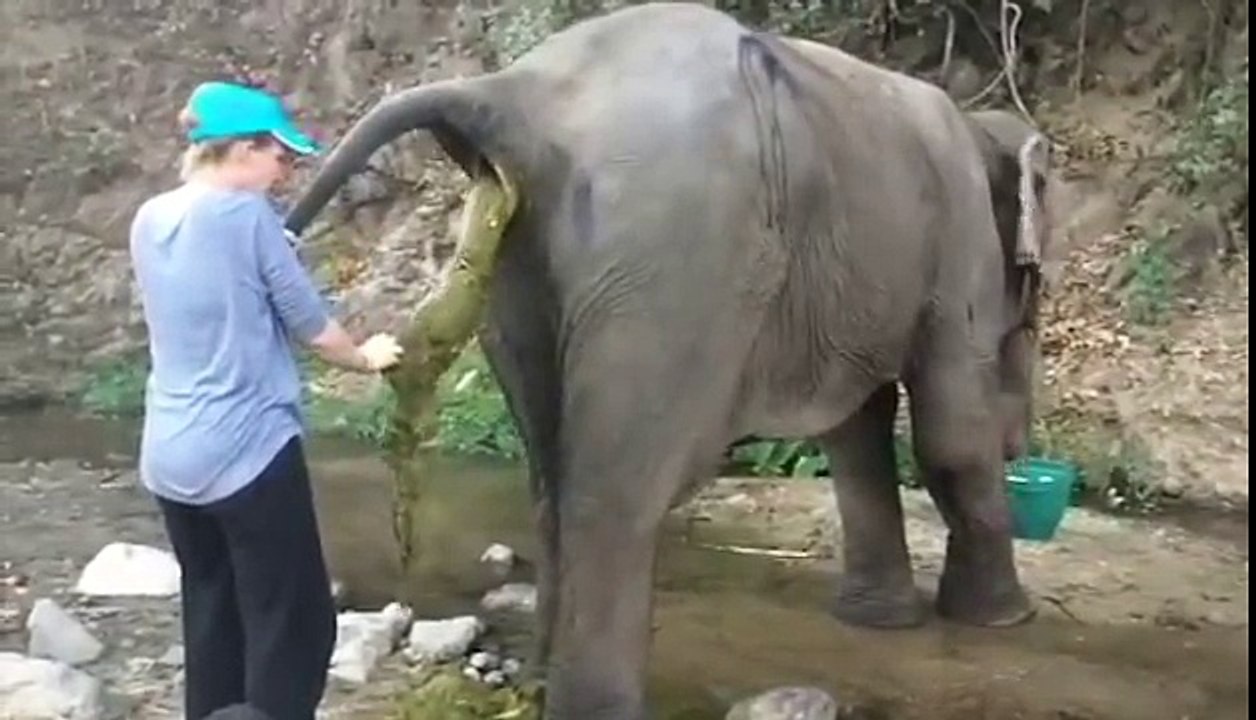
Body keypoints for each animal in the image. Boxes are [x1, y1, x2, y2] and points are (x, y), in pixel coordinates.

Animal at [283, 4, 1052, 718]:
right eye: (1036, 285)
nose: (1025, 446)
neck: (979, 128)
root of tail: (514, 94)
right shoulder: (960, 236)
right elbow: (949, 435)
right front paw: (1005, 620)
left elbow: (856, 433)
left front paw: (884, 621)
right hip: (671, 257)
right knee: (620, 490)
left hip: (521, 260)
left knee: (551, 476)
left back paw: (537, 687)